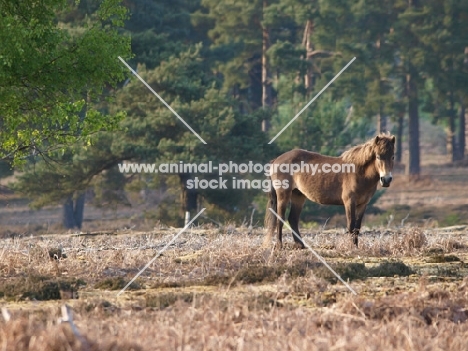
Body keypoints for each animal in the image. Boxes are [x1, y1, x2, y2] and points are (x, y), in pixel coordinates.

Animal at [264, 133, 394, 249]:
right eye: (378, 156)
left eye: (392, 156)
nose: (386, 179)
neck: (358, 172)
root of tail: (276, 160)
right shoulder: (349, 202)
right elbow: (351, 225)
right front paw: (351, 248)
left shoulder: (363, 204)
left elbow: (357, 227)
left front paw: (356, 247)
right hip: (283, 194)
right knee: (280, 219)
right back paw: (279, 246)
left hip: (298, 196)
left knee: (293, 219)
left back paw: (300, 245)